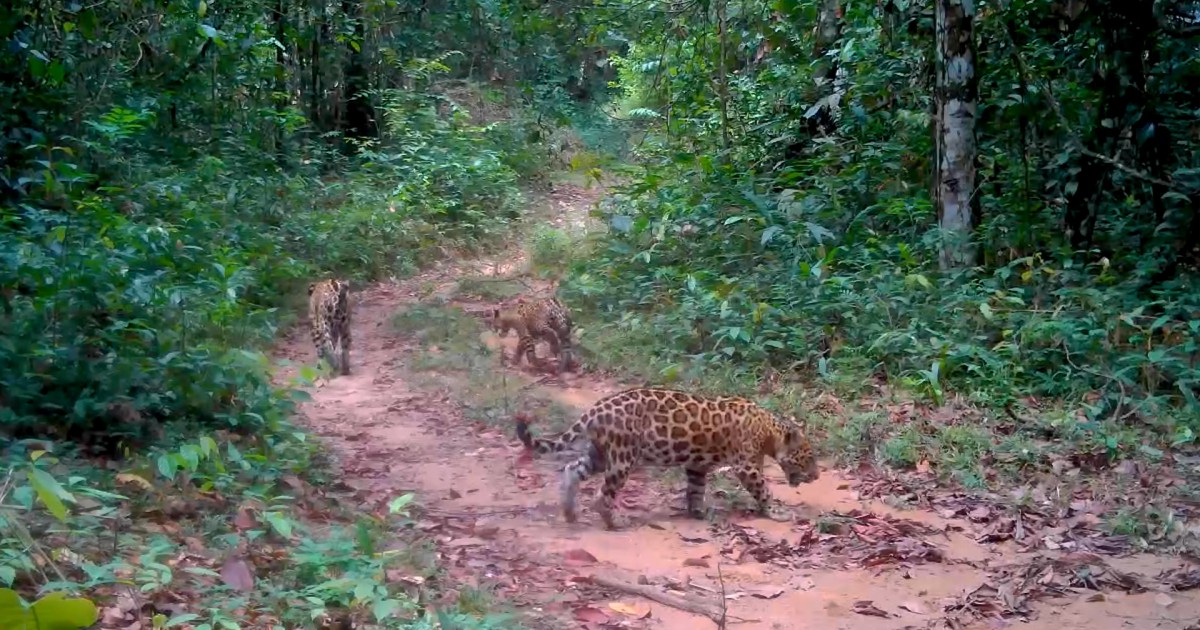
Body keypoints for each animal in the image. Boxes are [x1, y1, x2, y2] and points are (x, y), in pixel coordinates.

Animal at [515, 387, 820, 530]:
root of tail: (596, 408)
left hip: (600, 454)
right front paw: (777, 512)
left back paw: (569, 511)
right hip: (623, 456)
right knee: (603, 493)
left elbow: (695, 489)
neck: (769, 431)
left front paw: (698, 512)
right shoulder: (746, 466)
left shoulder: (697, 465)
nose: (817, 476)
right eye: (809, 458)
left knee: (571, 469)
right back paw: (615, 522)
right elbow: (764, 490)